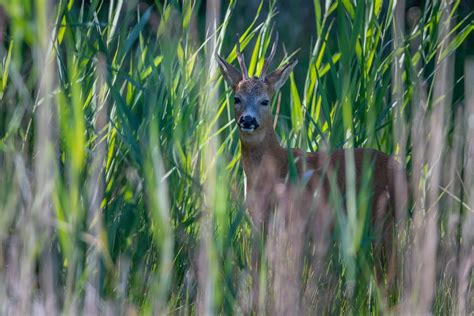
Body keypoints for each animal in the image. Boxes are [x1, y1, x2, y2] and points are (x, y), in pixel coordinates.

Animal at [217, 35, 406, 312]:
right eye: (236, 98)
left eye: (265, 100)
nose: (248, 120)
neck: (276, 168)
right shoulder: (261, 220)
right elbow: (259, 268)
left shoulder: (299, 219)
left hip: (382, 219)